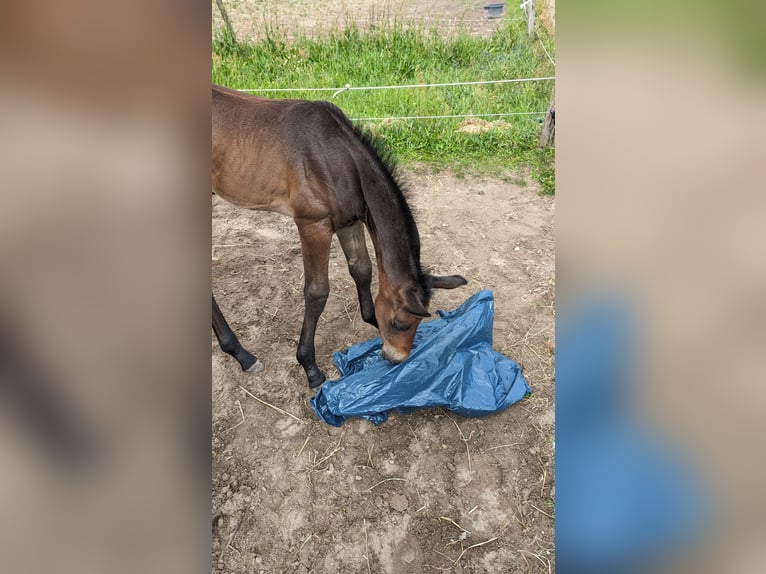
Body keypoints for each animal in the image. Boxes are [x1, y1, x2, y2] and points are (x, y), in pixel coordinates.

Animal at [214, 84, 468, 392]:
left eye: (415, 325)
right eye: (399, 323)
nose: (395, 359)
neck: (336, 158)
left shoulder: (349, 221)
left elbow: (362, 269)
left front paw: (370, 320)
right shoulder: (313, 225)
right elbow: (317, 292)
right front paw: (310, 368)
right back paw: (243, 354)